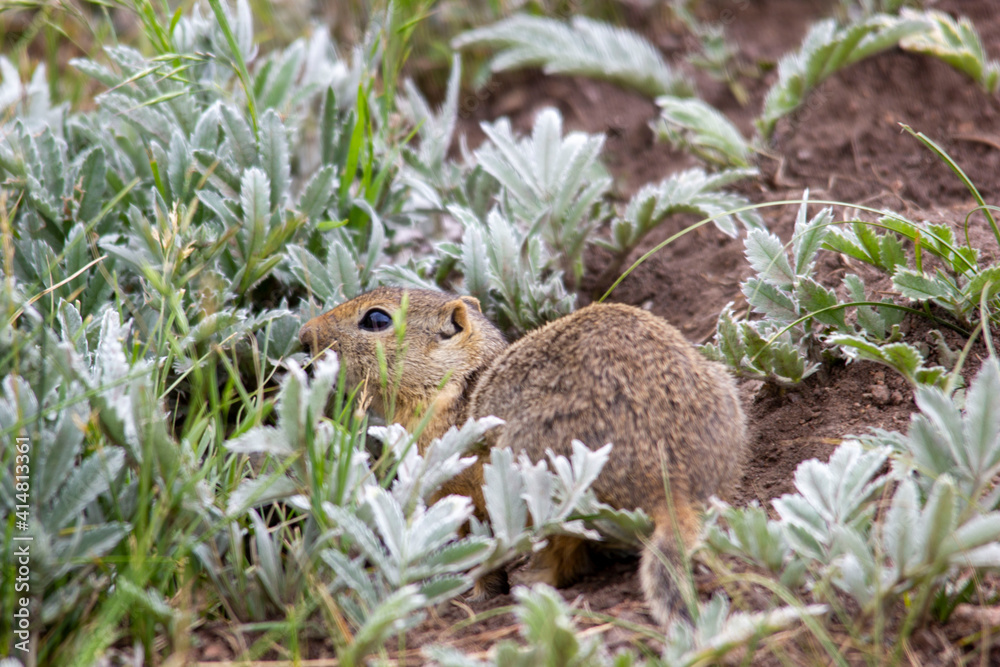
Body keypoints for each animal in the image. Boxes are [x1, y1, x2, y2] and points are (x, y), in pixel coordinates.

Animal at [298, 286, 747, 626]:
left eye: (376, 320)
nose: (304, 334)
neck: (457, 386)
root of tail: (675, 487)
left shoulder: (465, 495)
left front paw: (479, 592)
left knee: (564, 556)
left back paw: (532, 579)